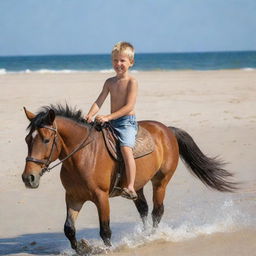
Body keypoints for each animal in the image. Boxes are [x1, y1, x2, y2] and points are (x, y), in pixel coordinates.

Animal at [21, 104, 236, 254]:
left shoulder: (101, 198)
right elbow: (69, 229)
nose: (28, 178)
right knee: (144, 209)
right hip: (137, 186)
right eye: (27, 140)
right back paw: (142, 236)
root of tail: (167, 129)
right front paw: (83, 248)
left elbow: (105, 230)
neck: (82, 156)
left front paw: (106, 250)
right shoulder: (73, 197)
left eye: (46, 140)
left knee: (157, 211)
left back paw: (152, 237)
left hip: (160, 182)